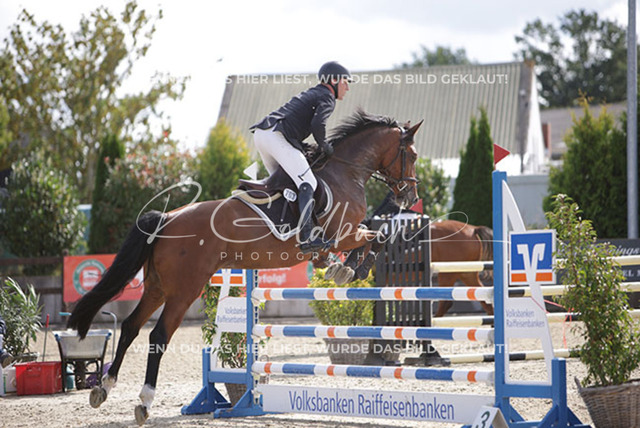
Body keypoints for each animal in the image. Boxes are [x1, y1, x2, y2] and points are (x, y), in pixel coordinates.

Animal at [67, 110, 422, 425]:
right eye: (413, 155)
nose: (410, 195)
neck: (344, 172)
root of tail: (167, 218)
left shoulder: (343, 235)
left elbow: (370, 237)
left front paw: (341, 268)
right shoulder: (344, 234)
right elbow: (376, 238)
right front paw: (351, 270)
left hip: (157, 287)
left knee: (130, 327)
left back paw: (103, 388)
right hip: (184, 290)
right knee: (158, 335)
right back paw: (144, 402)